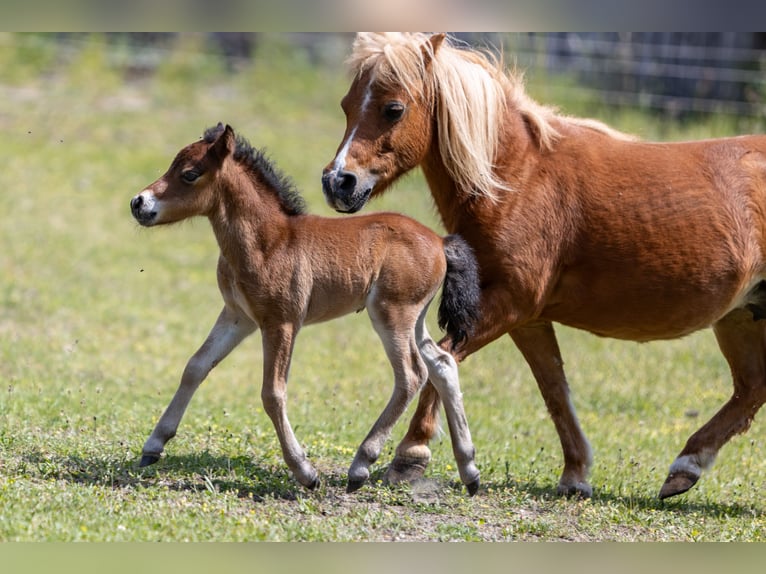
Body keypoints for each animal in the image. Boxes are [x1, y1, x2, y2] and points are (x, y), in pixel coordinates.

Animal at [129, 123, 482, 494]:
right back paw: (469, 470)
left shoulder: (281, 322)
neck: (268, 242)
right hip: (415, 317)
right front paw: (153, 446)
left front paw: (305, 471)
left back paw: (361, 465)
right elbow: (196, 366)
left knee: (412, 374)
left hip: (392, 313)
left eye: (189, 174)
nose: (139, 203)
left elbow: (272, 393)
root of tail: (442, 242)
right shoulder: (238, 316)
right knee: (442, 364)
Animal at [321, 32, 766, 500]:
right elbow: (553, 388)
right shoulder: (527, 318)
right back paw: (685, 467)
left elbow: (440, 361)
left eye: (393, 108)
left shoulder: (511, 303)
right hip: (741, 316)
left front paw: (411, 454)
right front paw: (575, 473)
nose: (337, 182)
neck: (517, 179)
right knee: (752, 388)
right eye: (347, 105)